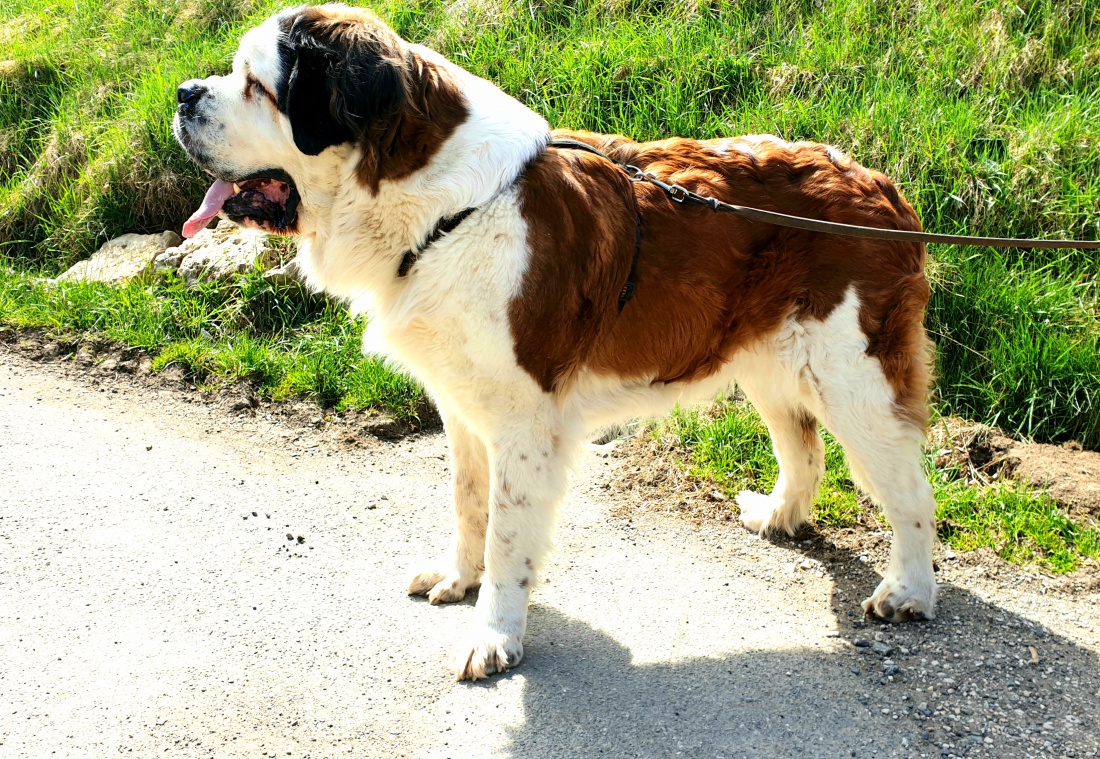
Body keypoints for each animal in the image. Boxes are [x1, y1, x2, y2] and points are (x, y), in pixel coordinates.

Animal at [171, 4, 937, 682]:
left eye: (257, 85)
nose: (182, 94)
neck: (442, 205)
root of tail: (881, 186)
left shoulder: (523, 420)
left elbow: (509, 534)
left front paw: (494, 637)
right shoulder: (462, 405)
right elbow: (468, 501)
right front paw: (459, 577)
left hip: (855, 381)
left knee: (909, 489)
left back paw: (909, 591)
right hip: (770, 364)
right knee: (802, 446)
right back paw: (779, 516)